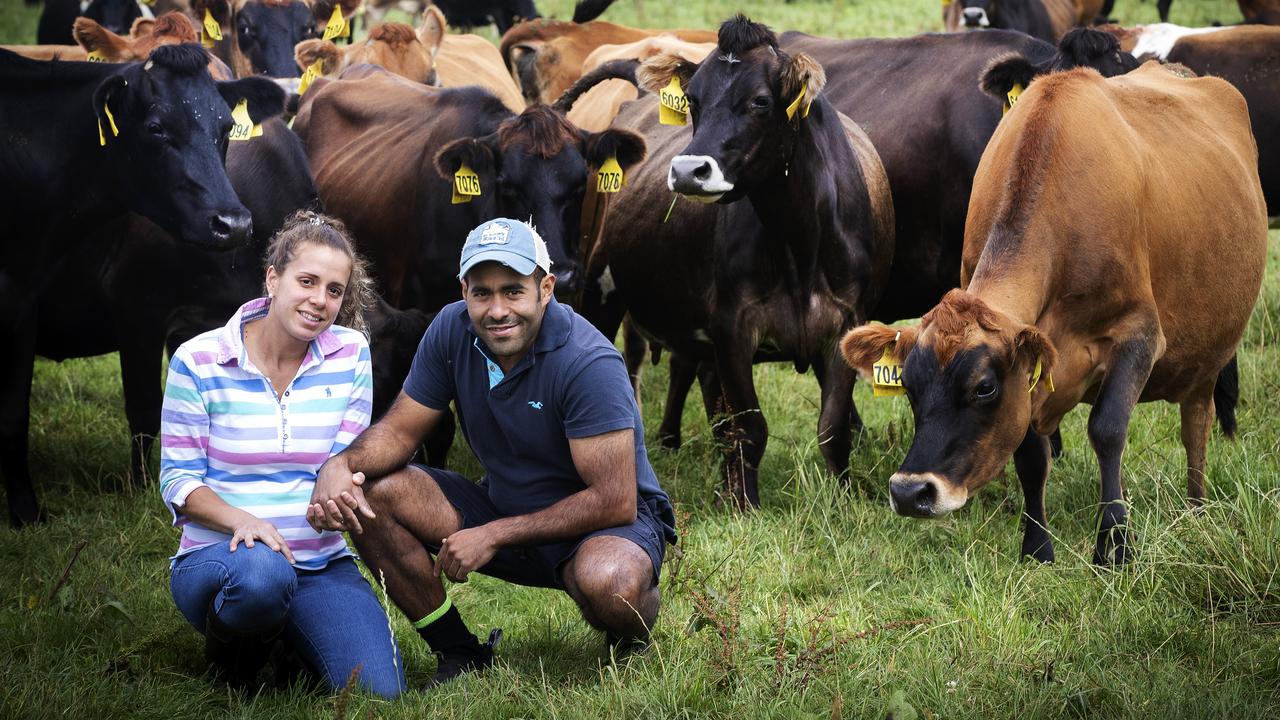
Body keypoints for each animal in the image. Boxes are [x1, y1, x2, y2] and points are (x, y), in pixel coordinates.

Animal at [1, 46, 288, 527]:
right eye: (156, 128)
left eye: (225, 128)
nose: (232, 223)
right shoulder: (139, 311)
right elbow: (145, 406)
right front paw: (139, 491)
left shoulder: (23, 302)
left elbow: (14, 412)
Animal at [834, 61, 1264, 563]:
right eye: (908, 385)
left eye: (983, 387)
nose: (909, 492)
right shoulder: (1030, 369)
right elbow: (1030, 454)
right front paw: (1037, 547)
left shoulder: (1138, 335)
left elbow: (1107, 430)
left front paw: (1115, 545)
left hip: (1207, 356)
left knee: (1196, 423)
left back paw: (1196, 511)